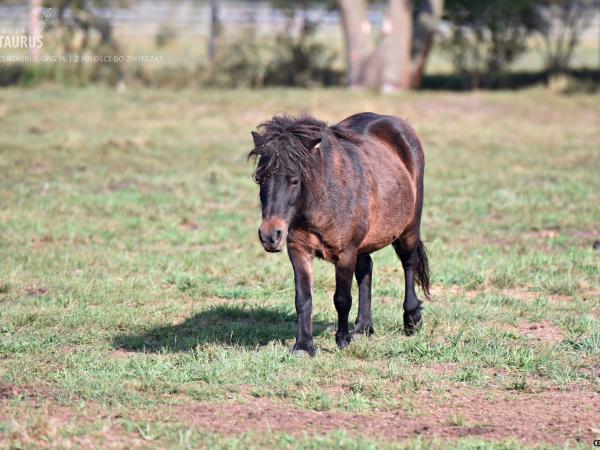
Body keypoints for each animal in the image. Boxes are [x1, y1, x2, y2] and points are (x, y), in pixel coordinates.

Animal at [251, 111, 428, 356]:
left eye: (295, 180)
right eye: (259, 179)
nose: (270, 236)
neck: (322, 200)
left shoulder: (345, 253)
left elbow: (342, 299)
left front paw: (342, 340)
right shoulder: (298, 250)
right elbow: (303, 298)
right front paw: (304, 346)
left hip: (409, 227)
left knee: (408, 264)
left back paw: (411, 319)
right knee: (366, 270)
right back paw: (363, 327)